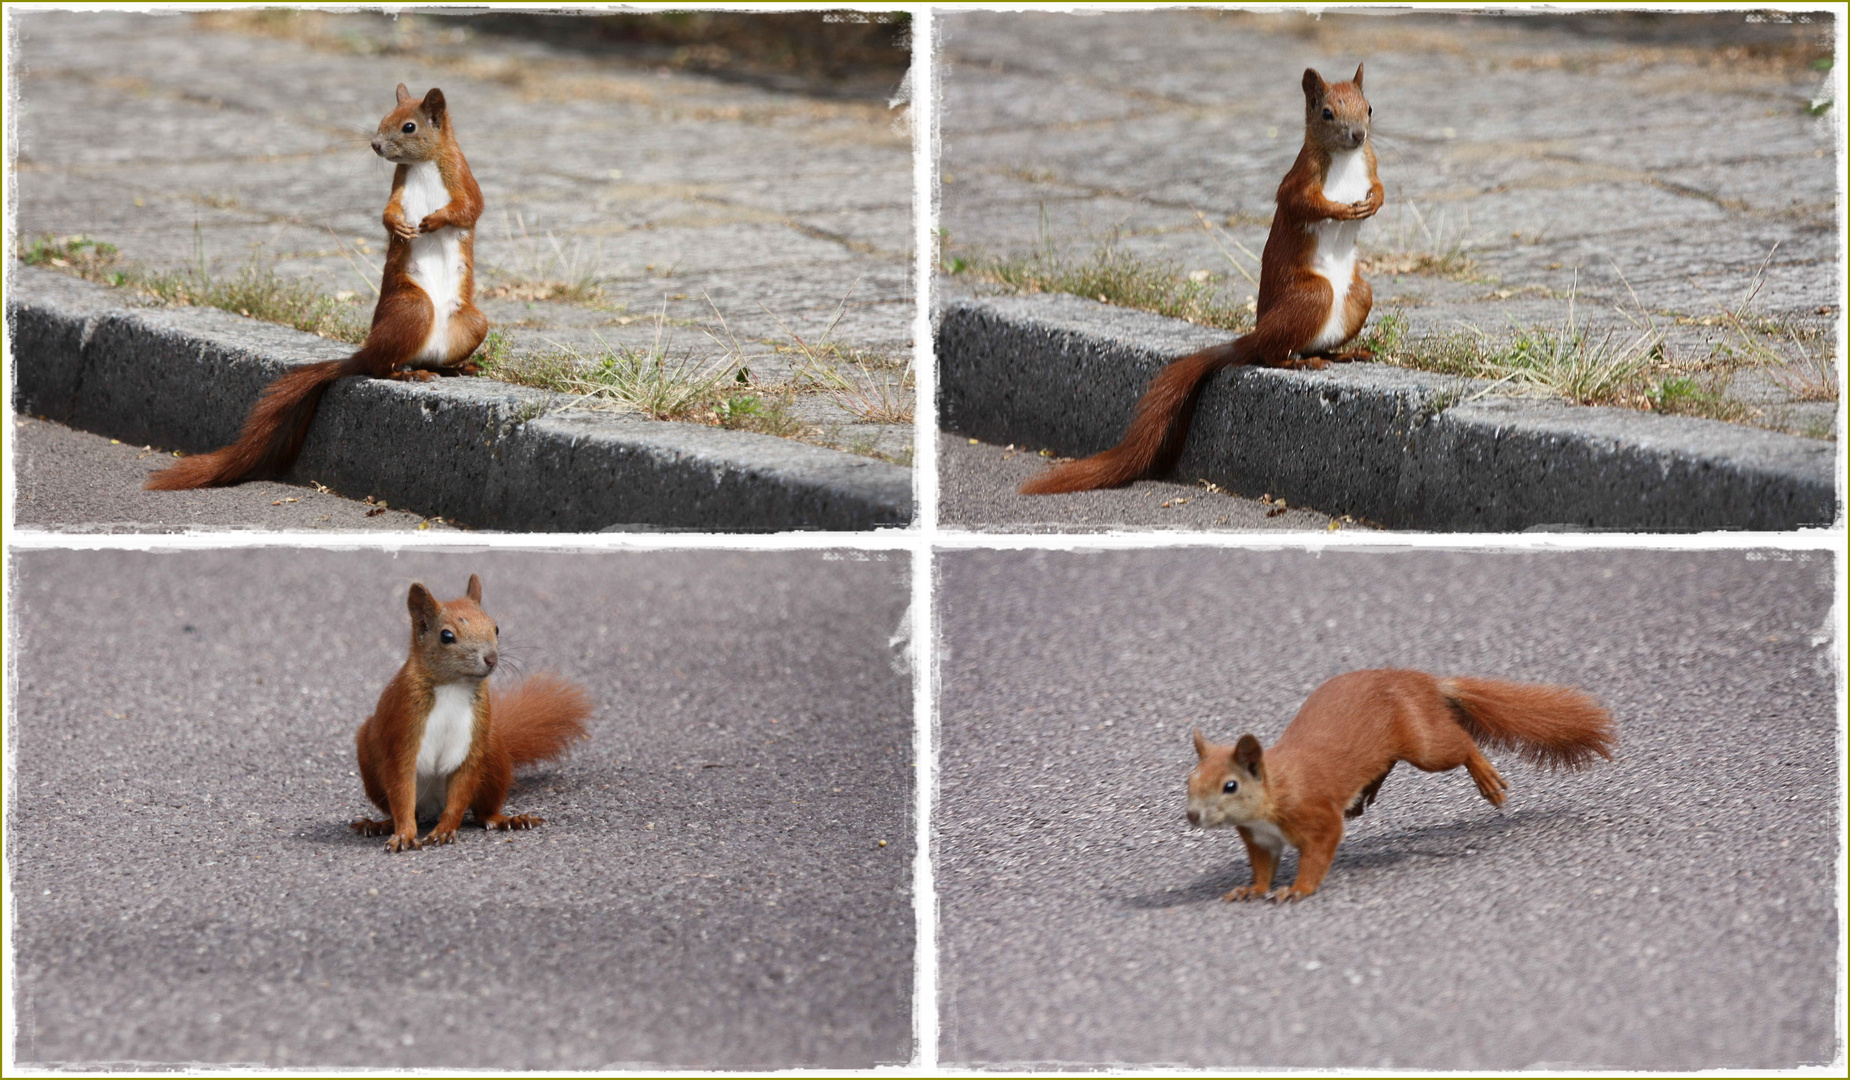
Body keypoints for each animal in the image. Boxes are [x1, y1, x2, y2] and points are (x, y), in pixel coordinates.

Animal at [145, 84, 488, 488]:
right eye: (382, 119)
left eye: (408, 126)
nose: (375, 144)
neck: (423, 165)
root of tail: (367, 350)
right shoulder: (398, 187)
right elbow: (387, 212)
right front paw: (398, 227)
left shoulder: (462, 177)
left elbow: (469, 208)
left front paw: (434, 220)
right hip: (410, 308)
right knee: (380, 367)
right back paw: (411, 374)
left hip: (469, 322)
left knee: (419, 357)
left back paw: (455, 368)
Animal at [1028, 69, 1391, 499]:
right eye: (1327, 113)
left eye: (1370, 107)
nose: (1358, 136)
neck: (1347, 161)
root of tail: (1255, 333)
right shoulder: (1299, 180)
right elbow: (1302, 203)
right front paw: (1340, 210)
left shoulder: (1370, 162)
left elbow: (1380, 185)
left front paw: (1374, 201)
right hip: (1310, 296)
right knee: (1271, 352)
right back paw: (1297, 362)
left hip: (1357, 296)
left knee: (1318, 336)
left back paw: (1342, 354)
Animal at [1191, 665, 1613, 902]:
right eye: (1189, 781)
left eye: (1230, 786)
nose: (1192, 816)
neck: (1274, 790)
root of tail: (1422, 681)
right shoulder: (1260, 838)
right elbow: (1262, 867)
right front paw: (1251, 890)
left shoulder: (1314, 812)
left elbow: (1319, 851)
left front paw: (1298, 890)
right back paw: (1365, 794)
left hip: (1426, 746)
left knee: (1459, 742)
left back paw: (1486, 778)